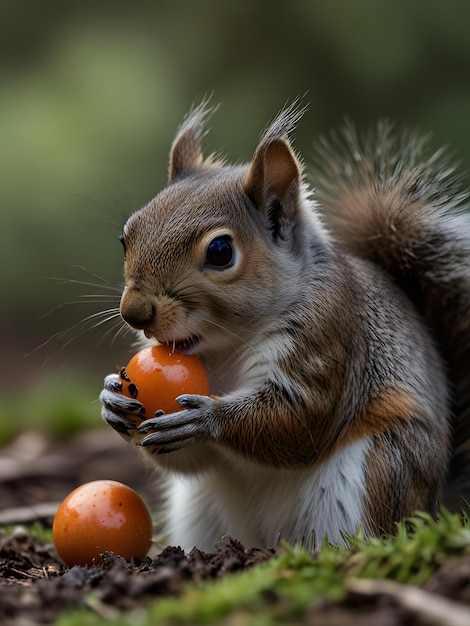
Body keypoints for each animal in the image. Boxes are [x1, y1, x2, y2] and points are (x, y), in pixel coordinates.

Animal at [100, 100, 470, 548]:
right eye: (126, 236)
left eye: (220, 251)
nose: (134, 313)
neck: (227, 347)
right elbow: (191, 458)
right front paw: (111, 399)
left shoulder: (327, 339)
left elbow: (297, 423)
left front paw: (208, 418)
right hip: (198, 510)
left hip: (372, 474)